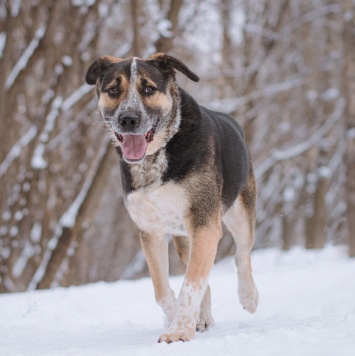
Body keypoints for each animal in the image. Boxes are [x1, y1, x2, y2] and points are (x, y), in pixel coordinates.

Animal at [85, 53, 260, 344]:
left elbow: (191, 284)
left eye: (148, 89)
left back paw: (249, 297)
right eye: (113, 90)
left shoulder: (204, 223)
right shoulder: (151, 230)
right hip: (184, 239)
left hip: (239, 215)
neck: (156, 156)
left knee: (241, 255)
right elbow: (162, 290)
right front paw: (180, 317)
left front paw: (178, 331)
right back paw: (203, 317)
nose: (128, 119)